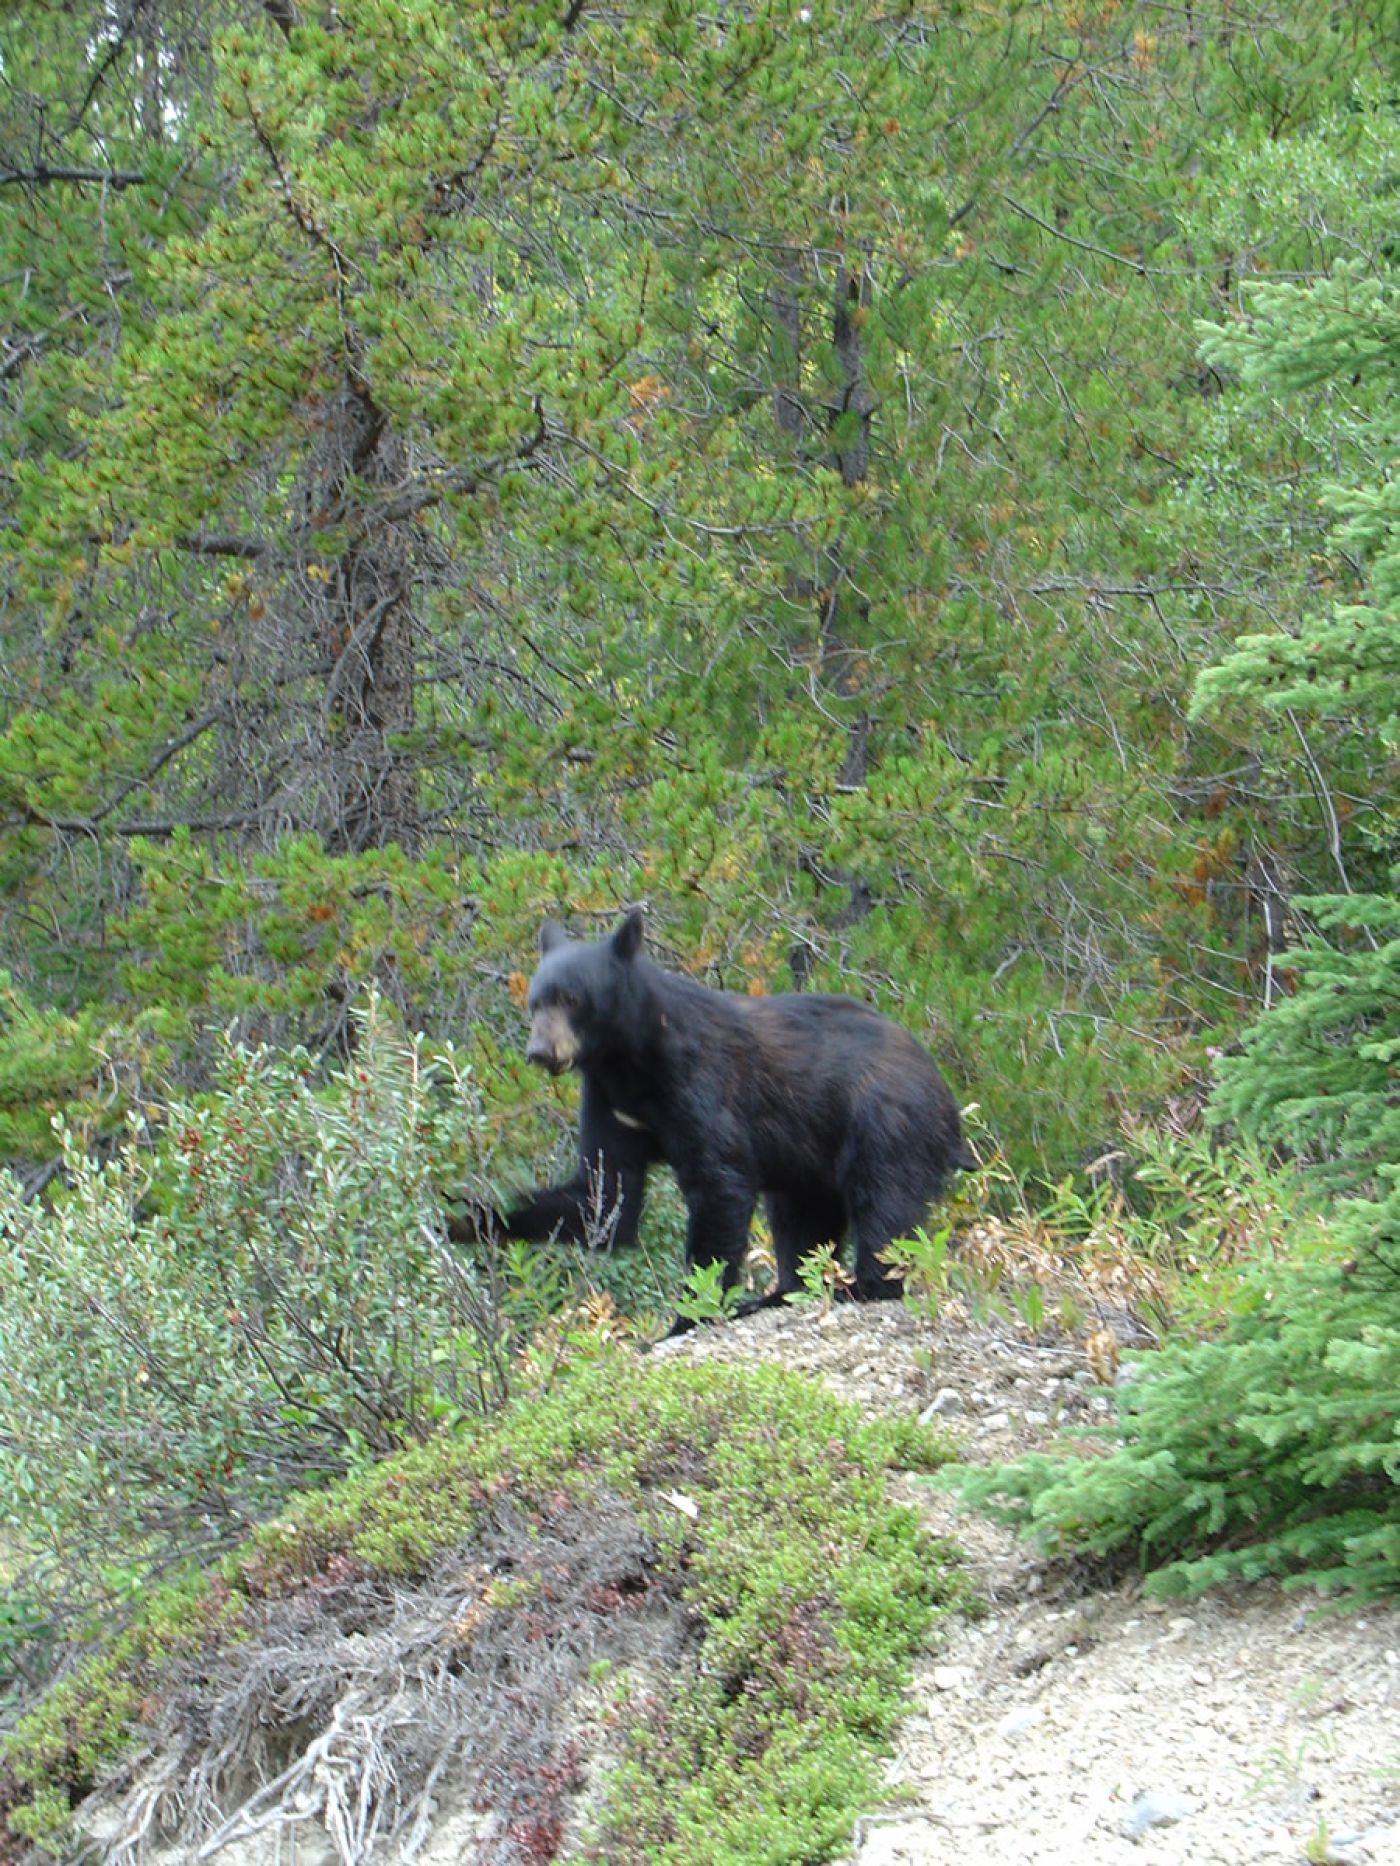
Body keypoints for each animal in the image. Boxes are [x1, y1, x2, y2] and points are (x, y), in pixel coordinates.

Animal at [477, 906, 970, 1321]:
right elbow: (602, 1196)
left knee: (884, 1202)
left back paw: (863, 1285)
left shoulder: (699, 1079)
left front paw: (689, 1315)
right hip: (810, 1154)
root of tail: (945, 1087)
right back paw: (780, 1293)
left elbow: (718, 1181)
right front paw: (475, 1218)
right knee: (801, 1217)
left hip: (888, 1119)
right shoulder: (608, 1099)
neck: (630, 1060)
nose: (540, 1051)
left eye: (572, 999)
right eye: (535, 1002)